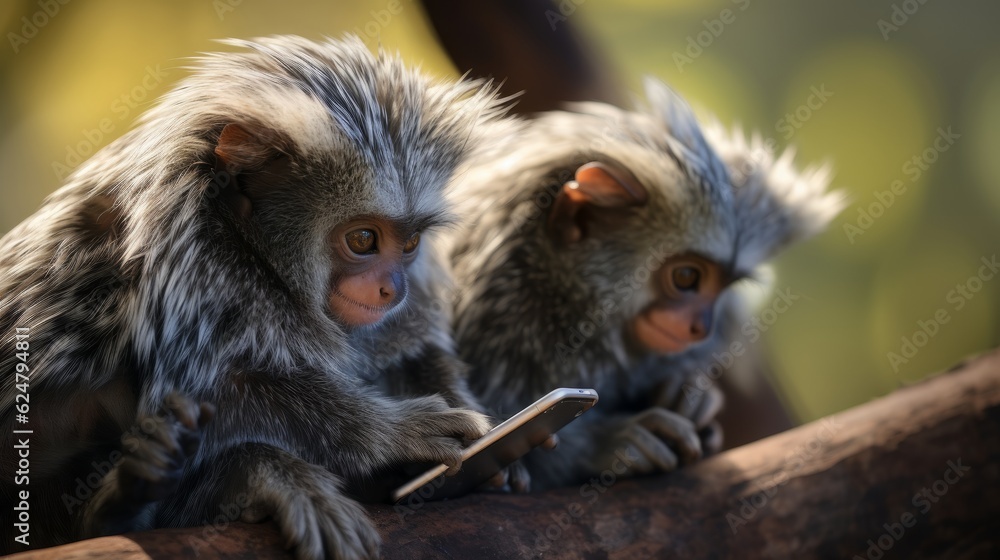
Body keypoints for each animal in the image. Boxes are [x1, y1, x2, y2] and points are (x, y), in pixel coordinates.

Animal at [0, 36, 511, 559]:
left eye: (409, 245)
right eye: (364, 240)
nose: (393, 288)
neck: (255, 251)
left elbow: (409, 346)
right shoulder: (193, 255)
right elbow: (203, 394)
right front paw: (392, 433)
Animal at [445, 78, 844, 491]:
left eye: (722, 287)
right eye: (686, 277)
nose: (701, 326)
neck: (561, 304)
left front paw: (691, 400)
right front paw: (605, 445)